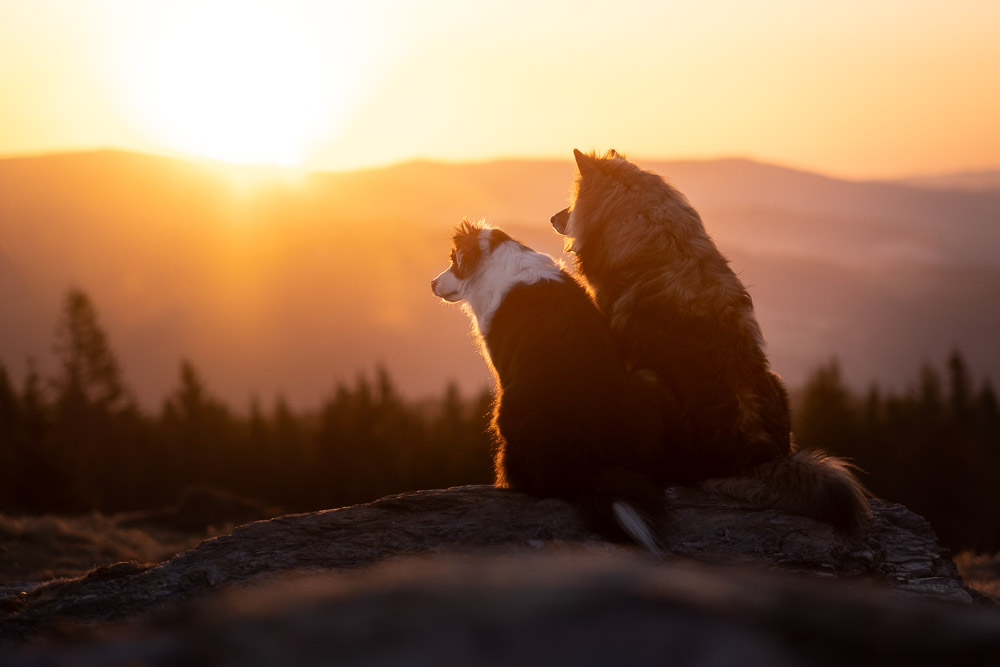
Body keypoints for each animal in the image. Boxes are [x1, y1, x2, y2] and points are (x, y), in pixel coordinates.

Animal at [432, 219, 672, 552]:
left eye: (453, 260)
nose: (431, 283)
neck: (497, 260)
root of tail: (588, 468)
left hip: (505, 410)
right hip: (647, 385)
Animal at [552, 150, 872, 532]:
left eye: (572, 203)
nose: (552, 218)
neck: (647, 222)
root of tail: (755, 460)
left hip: (652, 380)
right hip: (777, 381)